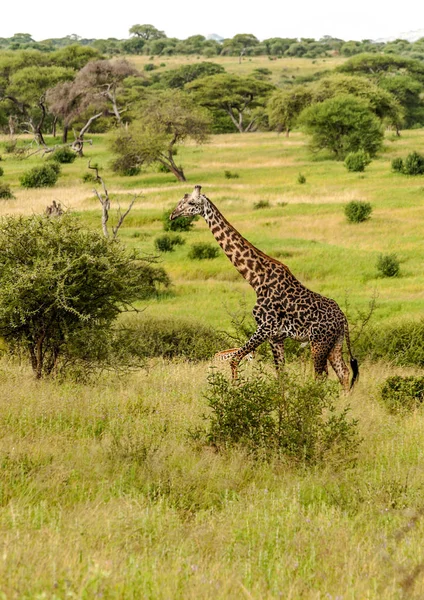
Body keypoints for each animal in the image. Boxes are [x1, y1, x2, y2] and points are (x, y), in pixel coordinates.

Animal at [169, 185, 358, 390]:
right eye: (180, 201)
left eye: (191, 202)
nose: (172, 214)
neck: (256, 279)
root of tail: (343, 319)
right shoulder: (276, 337)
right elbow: (281, 375)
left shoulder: (265, 327)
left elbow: (234, 359)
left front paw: (234, 389)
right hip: (335, 343)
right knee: (344, 372)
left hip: (319, 342)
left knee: (322, 376)